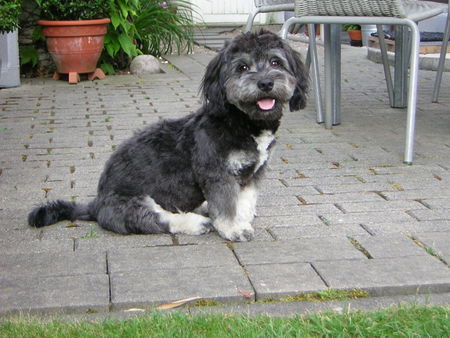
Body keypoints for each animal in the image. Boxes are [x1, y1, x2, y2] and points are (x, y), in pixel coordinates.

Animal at [28, 29, 308, 240]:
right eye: (242, 67)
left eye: (275, 62)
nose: (265, 83)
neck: (241, 122)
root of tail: (97, 203)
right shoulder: (217, 173)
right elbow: (226, 206)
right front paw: (233, 228)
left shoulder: (253, 173)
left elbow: (245, 202)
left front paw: (241, 219)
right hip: (130, 205)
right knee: (157, 219)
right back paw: (195, 222)